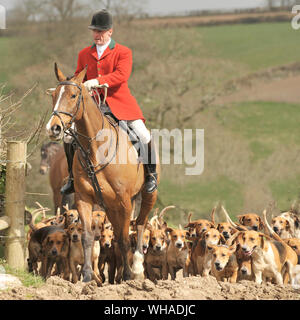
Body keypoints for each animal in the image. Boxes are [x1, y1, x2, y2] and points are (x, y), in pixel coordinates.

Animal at [45, 63, 159, 282]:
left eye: (73, 95)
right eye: (53, 95)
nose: (53, 128)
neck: (96, 148)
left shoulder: (125, 201)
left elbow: (124, 239)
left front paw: (127, 275)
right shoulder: (83, 198)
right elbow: (87, 236)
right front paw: (87, 276)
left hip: (147, 196)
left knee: (141, 224)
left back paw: (137, 267)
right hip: (111, 207)